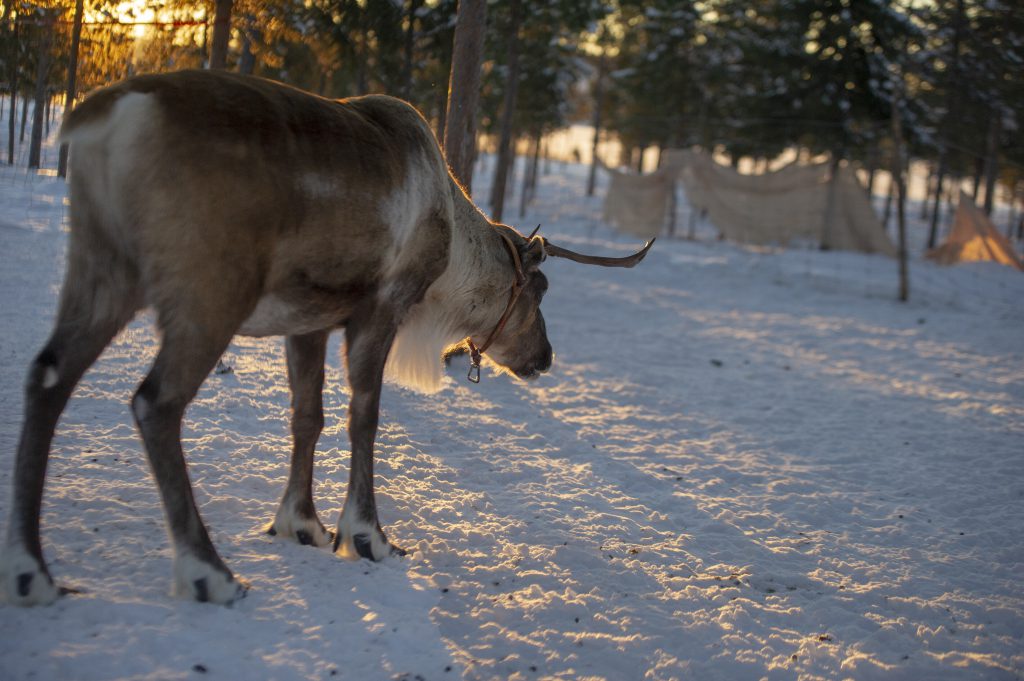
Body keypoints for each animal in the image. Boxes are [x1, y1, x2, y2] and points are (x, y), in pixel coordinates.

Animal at [2, 71, 647, 606]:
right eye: (539, 290)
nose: (546, 357)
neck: (451, 253)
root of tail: (112, 115)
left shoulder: (307, 319)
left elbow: (306, 415)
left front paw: (301, 523)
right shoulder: (382, 306)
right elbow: (364, 416)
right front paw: (366, 534)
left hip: (102, 268)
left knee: (47, 376)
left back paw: (32, 571)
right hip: (207, 292)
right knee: (155, 402)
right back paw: (208, 570)